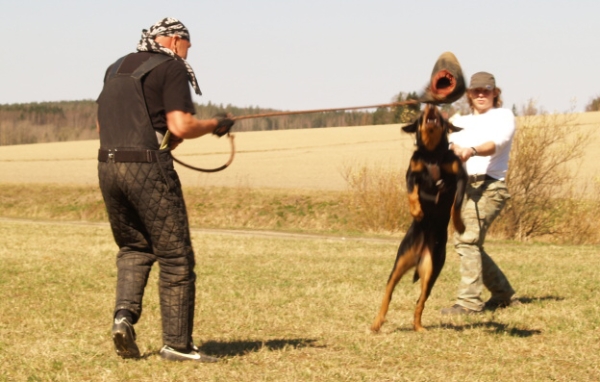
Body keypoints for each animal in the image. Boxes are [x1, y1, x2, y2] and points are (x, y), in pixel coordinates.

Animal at [370, 103, 468, 332]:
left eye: (439, 113)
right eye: (422, 113)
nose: (431, 105)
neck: (432, 154)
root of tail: (420, 252)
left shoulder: (460, 178)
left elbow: (457, 205)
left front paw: (459, 224)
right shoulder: (411, 174)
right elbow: (412, 193)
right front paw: (416, 211)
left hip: (431, 270)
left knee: (420, 301)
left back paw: (418, 326)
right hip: (400, 263)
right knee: (388, 293)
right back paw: (377, 322)